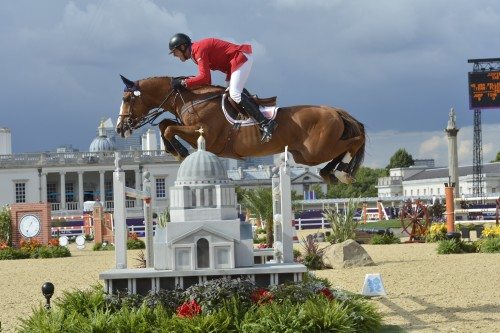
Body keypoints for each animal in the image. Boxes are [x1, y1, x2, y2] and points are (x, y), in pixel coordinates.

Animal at [117, 75, 368, 183]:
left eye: (127, 98)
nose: (120, 128)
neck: (192, 99)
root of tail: (336, 111)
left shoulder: (206, 134)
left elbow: (169, 129)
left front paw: (180, 152)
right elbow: (165, 125)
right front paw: (175, 151)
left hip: (315, 150)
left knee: (355, 141)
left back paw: (344, 172)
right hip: (306, 155)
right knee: (340, 151)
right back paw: (331, 173)